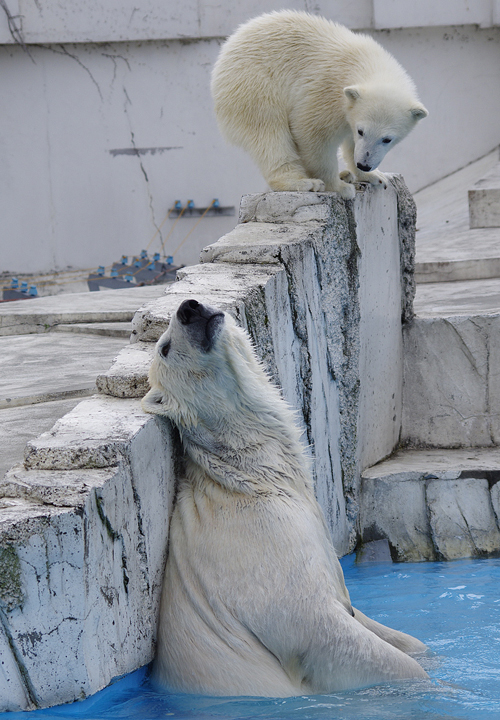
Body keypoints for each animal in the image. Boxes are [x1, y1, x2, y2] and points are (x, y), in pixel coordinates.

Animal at [143, 300, 428, 696]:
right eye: (165, 348)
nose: (189, 308)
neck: (251, 477)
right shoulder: (263, 545)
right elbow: (320, 629)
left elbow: (386, 628)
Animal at [213, 11, 428, 201]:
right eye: (361, 131)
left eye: (387, 139)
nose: (364, 164)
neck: (364, 62)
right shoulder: (327, 90)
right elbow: (314, 133)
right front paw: (340, 187)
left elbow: (349, 142)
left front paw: (374, 176)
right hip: (253, 86)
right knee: (269, 133)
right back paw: (303, 182)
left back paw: (344, 174)